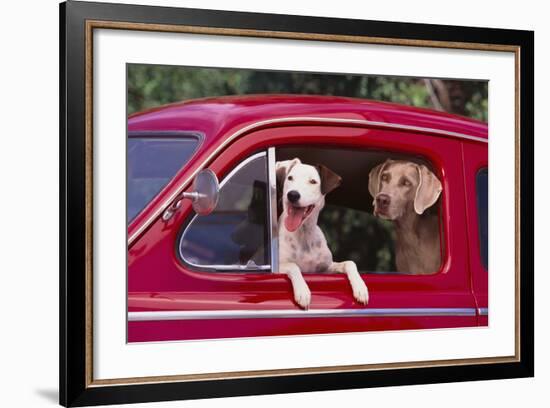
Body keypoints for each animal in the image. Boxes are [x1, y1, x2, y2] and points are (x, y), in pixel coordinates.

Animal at [276, 158, 370, 308]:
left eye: (313, 181)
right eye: (290, 178)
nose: (292, 194)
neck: (304, 234)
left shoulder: (325, 268)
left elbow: (349, 262)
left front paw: (360, 287)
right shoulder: (279, 267)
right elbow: (294, 266)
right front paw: (302, 291)